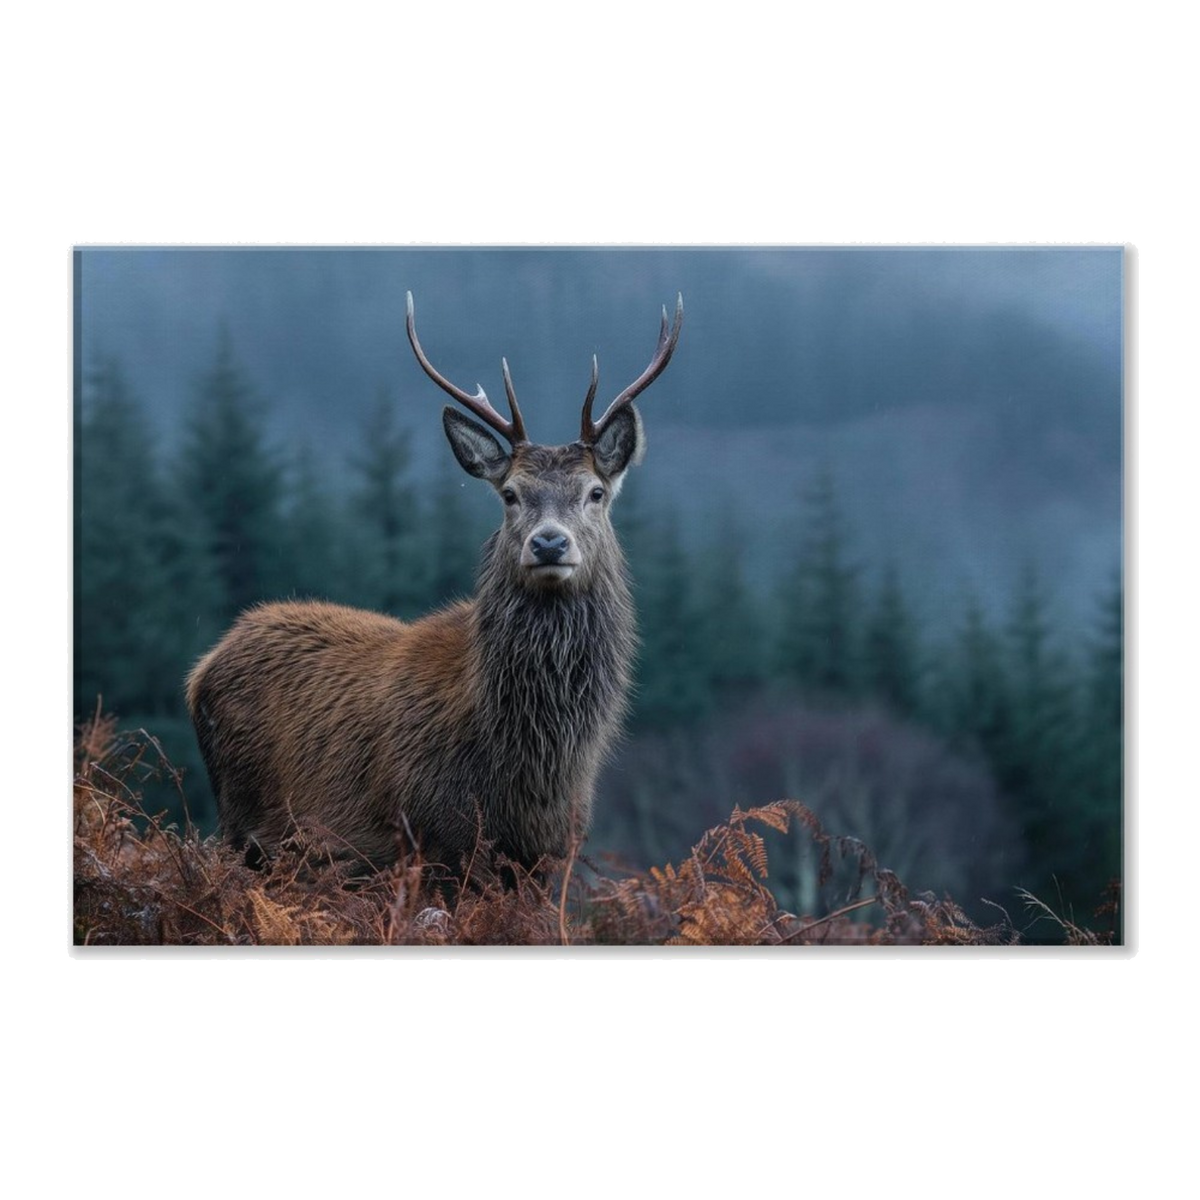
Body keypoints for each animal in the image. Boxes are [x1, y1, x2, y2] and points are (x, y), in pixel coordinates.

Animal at [186, 291, 682, 880]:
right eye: (510, 494)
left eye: (595, 493)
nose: (548, 543)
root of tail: (202, 669)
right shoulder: (434, 840)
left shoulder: (550, 855)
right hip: (243, 822)